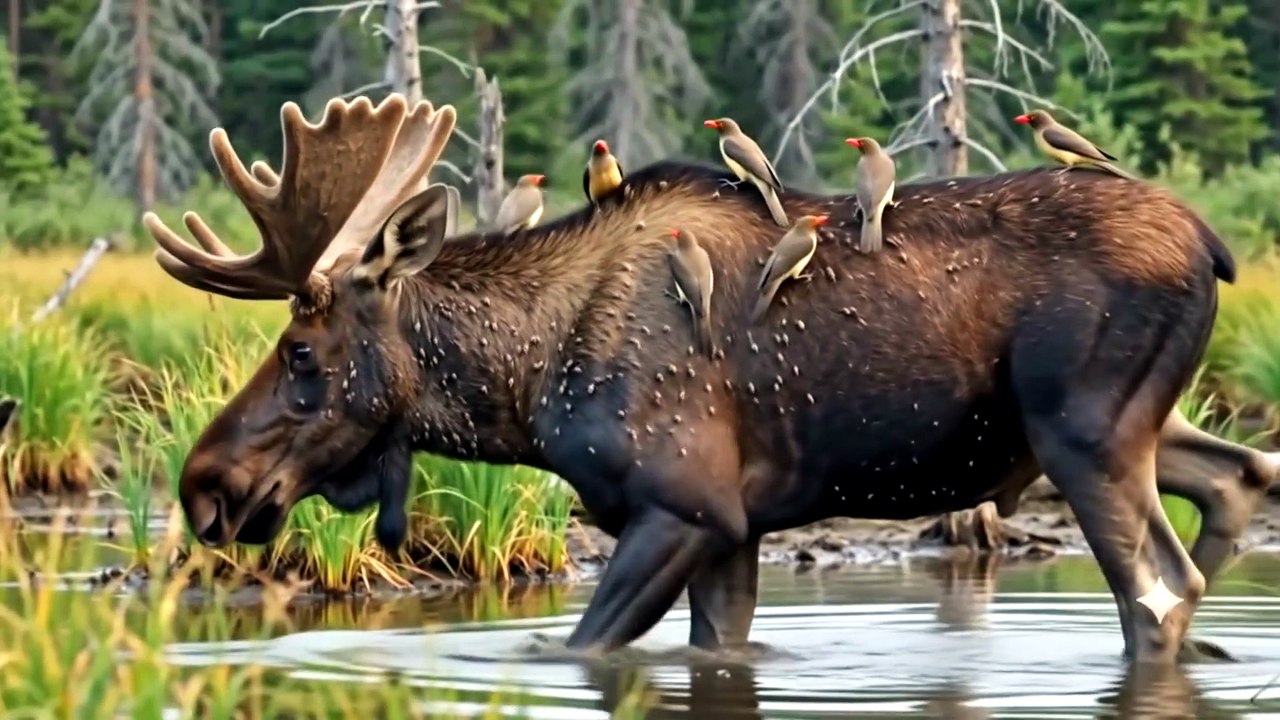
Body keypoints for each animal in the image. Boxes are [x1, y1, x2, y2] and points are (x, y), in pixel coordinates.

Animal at [143, 92, 1276, 666]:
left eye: (301, 352)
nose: (205, 485)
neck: (523, 389)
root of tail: (1214, 247)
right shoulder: (738, 527)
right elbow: (717, 652)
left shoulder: (680, 505)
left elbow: (577, 649)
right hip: (1122, 425)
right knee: (1238, 477)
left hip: (1082, 429)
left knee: (1160, 589)